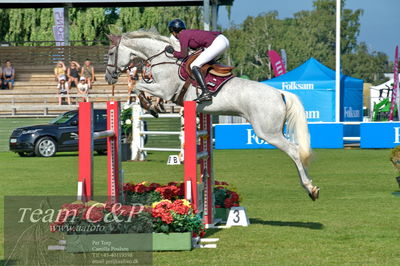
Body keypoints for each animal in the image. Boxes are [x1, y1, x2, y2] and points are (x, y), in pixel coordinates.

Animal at [104, 30, 320, 200]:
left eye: (111, 53)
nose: (108, 78)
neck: (162, 60)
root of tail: (280, 93)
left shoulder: (164, 89)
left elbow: (137, 86)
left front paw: (149, 105)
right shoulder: (164, 91)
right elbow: (141, 88)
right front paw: (153, 106)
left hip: (268, 132)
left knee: (294, 151)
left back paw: (310, 188)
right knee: (296, 151)